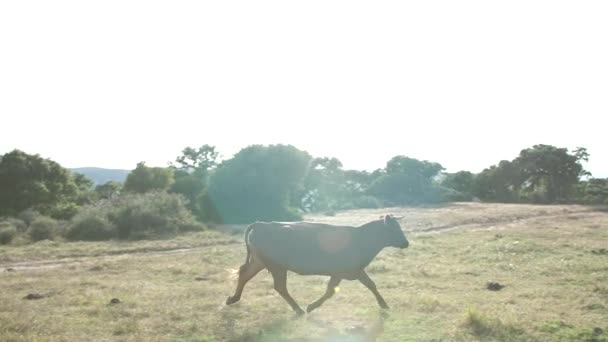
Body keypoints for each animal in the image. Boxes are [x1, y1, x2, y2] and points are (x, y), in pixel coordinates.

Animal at [224, 215, 408, 314]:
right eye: (394, 229)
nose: (406, 243)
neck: (362, 238)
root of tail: (262, 224)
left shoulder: (347, 272)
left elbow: (364, 286)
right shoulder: (348, 271)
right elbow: (337, 290)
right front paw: (311, 306)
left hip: (259, 262)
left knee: (244, 274)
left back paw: (233, 299)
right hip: (276, 267)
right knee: (280, 287)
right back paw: (298, 309)